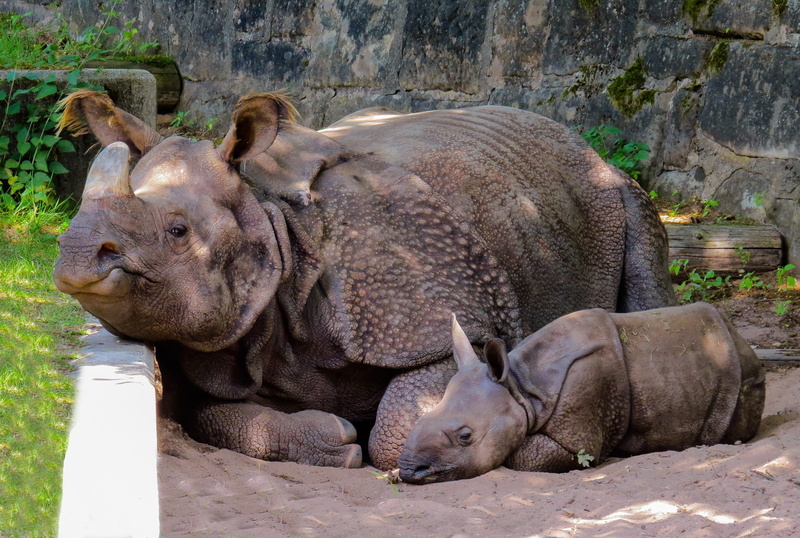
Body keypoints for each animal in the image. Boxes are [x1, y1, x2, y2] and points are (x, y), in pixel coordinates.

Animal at [53, 90, 676, 470]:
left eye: (178, 231)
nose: (76, 256)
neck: (272, 226)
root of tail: (576, 141)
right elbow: (211, 415)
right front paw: (331, 442)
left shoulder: (442, 317)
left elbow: (395, 434)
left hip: (612, 187)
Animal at [399, 303, 766, 483]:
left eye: (465, 436)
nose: (408, 471)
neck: (521, 387)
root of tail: (740, 337)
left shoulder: (582, 419)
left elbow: (524, 456)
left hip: (738, 374)